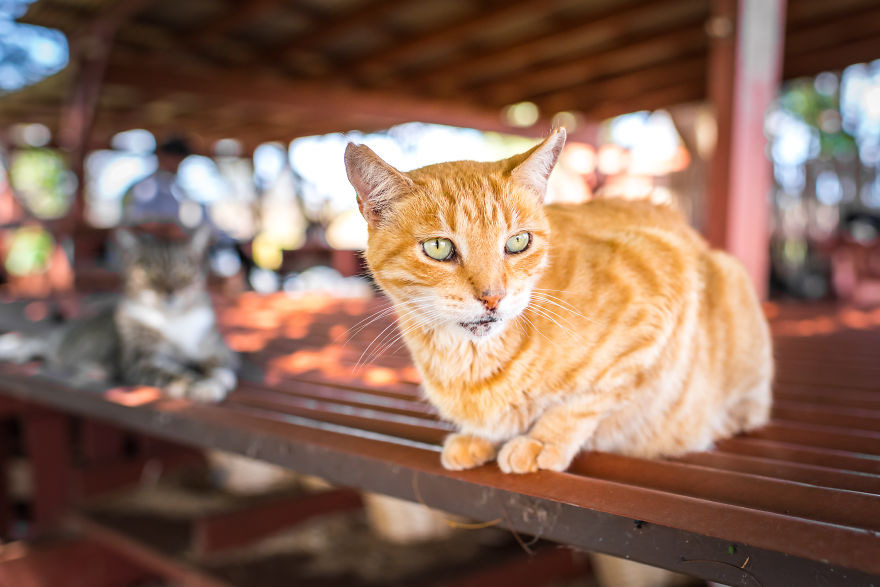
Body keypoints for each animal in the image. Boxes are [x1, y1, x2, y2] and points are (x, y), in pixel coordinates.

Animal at [0, 227, 237, 402]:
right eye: (150, 273)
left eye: (184, 273)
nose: (170, 292)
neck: (172, 320)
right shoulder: (141, 361)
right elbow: (176, 375)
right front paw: (203, 386)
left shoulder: (217, 347)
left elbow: (219, 363)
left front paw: (218, 378)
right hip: (59, 344)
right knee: (30, 342)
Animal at [344, 129, 768, 474]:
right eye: (438, 247)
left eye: (518, 242)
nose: (493, 297)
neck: (469, 364)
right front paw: (480, 436)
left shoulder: (662, 282)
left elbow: (584, 401)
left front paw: (541, 440)